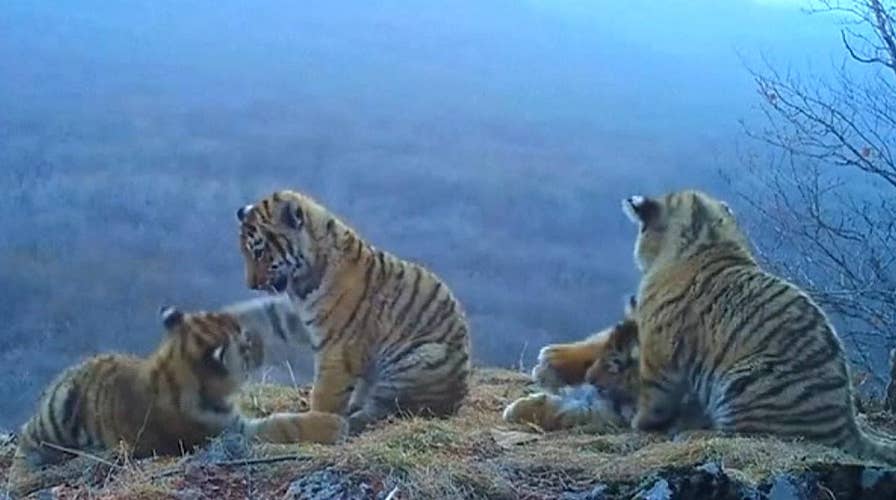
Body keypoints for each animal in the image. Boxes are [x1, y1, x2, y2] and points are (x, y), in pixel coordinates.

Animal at [6, 305, 347, 497]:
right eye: (245, 341)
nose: (261, 340)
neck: (176, 366)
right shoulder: (230, 430)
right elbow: (284, 425)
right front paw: (332, 425)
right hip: (55, 414)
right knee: (25, 442)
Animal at [235, 189, 472, 434]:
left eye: (259, 252)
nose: (251, 284)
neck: (302, 282)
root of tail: (457, 399)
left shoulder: (337, 347)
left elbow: (325, 393)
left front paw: (317, 417)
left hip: (417, 358)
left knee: (386, 409)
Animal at [622, 189, 896, 462]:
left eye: (643, 228)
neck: (708, 243)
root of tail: (846, 425)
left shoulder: (657, 352)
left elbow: (654, 398)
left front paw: (639, 423)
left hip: (745, 382)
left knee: (742, 434)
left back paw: (691, 434)